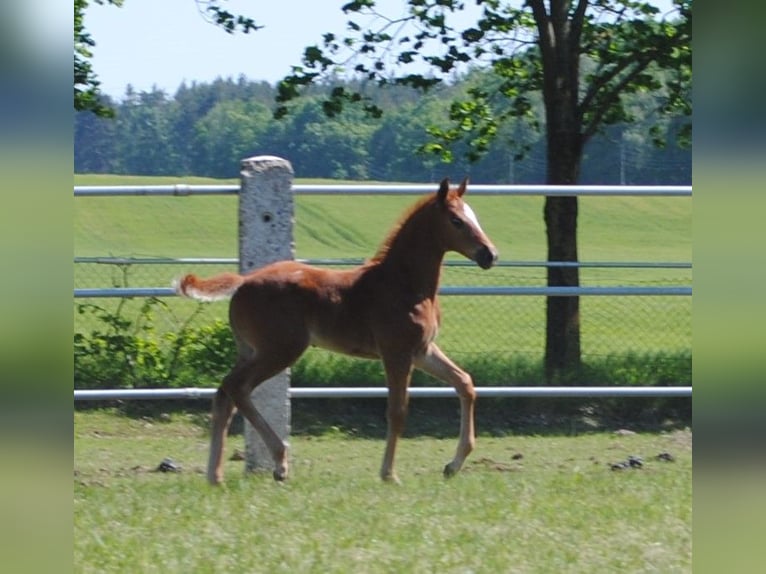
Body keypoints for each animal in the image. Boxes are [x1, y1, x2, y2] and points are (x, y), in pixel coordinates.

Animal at [176, 179, 498, 486]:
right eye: (457, 220)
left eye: (475, 216)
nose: (490, 254)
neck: (404, 284)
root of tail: (243, 282)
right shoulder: (397, 353)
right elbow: (397, 411)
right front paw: (389, 474)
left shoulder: (422, 350)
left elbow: (464, 383)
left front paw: (452, 466)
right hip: (279, 351)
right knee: (237, 388)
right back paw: (278, 464)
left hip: (251, 351)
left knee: (224, 394)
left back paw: (216, 476)